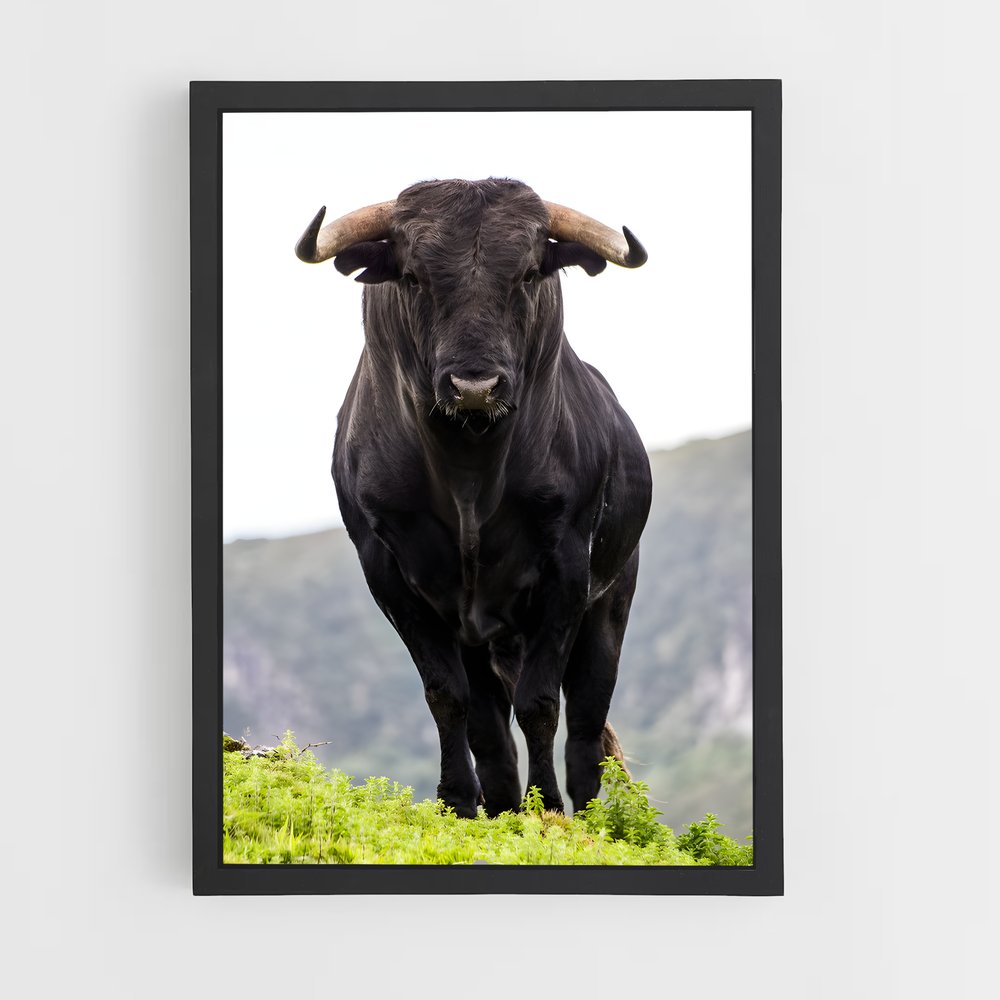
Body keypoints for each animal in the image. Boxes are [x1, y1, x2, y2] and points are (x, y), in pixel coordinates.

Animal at [295, 178, 651, 818]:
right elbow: (447, 696)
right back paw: (503, 805)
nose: (475, 386)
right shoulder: (390, 574)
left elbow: (541, 703)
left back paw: (586, 814)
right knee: (491, 732)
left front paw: (548, 809)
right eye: (414, 275)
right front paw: (459, 802)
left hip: (609, 604)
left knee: (588, 724)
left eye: (530, 272)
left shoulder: (567, 569)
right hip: (483, 634)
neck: (469, 471)